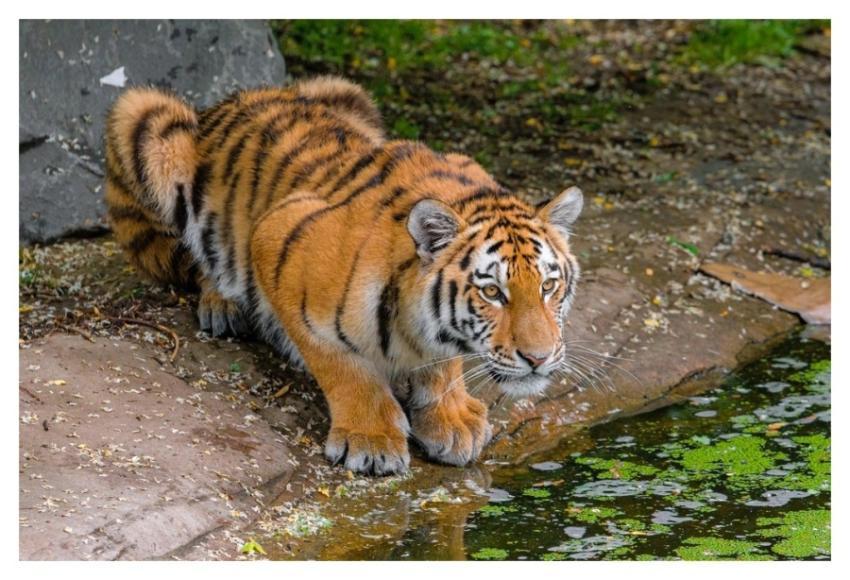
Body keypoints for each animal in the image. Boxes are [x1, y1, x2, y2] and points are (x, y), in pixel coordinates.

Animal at [103, 76, 584, 475]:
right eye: (493, 292)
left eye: (548, 286)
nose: (539, 359)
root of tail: (232, 99)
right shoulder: (276, 238)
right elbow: (343, 366)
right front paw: (370, 440)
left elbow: (441, 362)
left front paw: (451, 420)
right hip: (144, 115)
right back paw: (221, 302)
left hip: (351, 95)